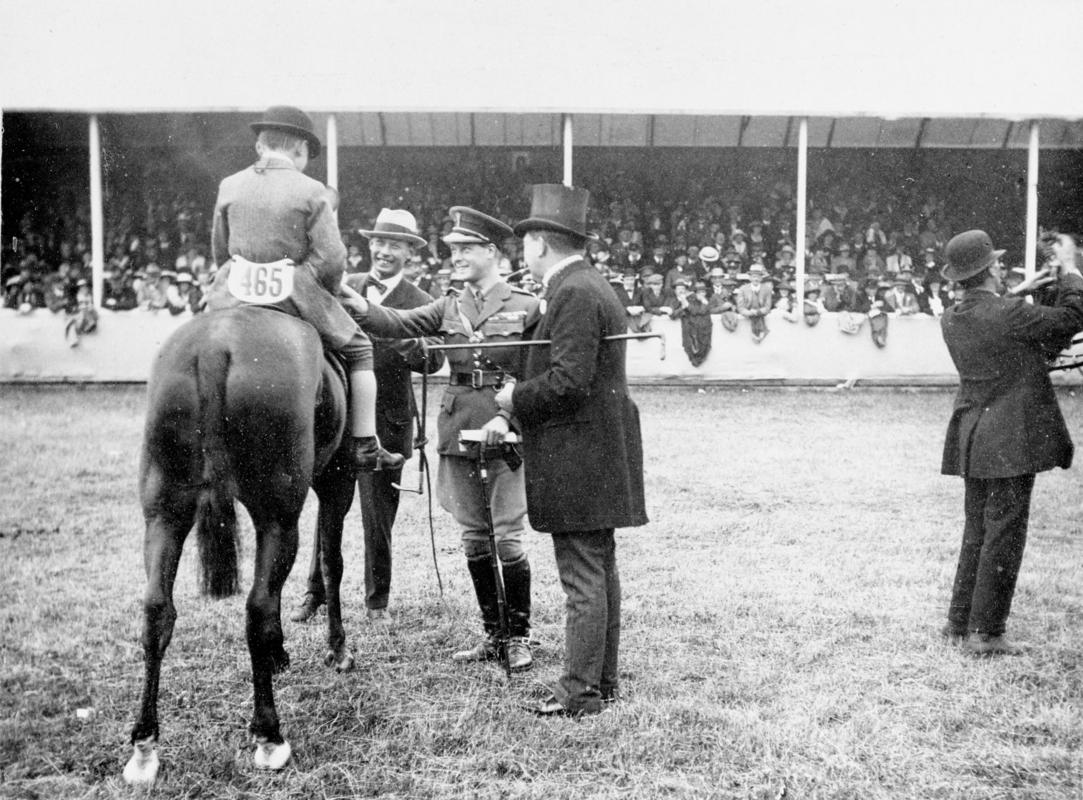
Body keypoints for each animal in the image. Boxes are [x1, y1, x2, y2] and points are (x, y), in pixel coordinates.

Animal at [121, 307, 359, 788]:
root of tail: (216, 345)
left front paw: (283, 653)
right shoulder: (337, 480)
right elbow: (331, 562)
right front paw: (337, 648)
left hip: (165, 512)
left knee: (157, 610)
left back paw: (144, 746)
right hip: (278, 516)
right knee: (259, 607)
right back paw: (269, 735)